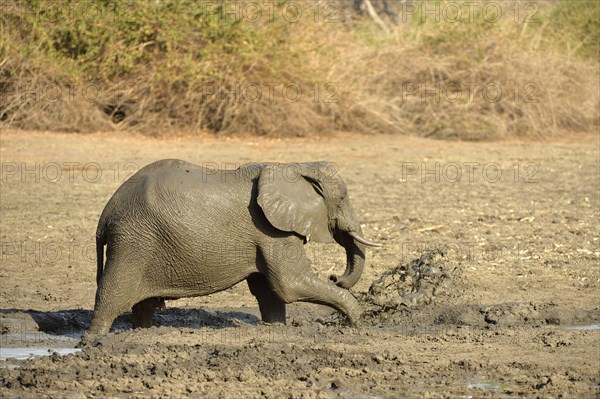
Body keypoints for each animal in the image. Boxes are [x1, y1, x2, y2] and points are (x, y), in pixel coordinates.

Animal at [89, 159, 380, 334]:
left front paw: (276, 329)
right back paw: (96, 342)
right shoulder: (271, 230)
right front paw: (359, 322)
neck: (294, 166)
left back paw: (142, 333)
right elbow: (290, 285)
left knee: (143, 305)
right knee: (112, 295)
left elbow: (269, 292)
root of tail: (105, 214)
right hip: (133, 241)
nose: (335, 277)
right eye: (342, 199)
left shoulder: (266, 234)